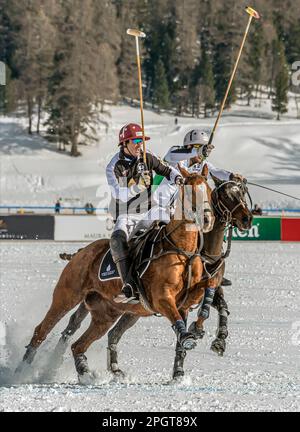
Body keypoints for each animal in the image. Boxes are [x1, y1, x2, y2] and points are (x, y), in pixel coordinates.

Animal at [17, 165, 218, 382]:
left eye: (208, 190)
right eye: (189, 192)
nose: (208, 220)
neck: (183, 250)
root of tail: (81, 252)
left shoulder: (186, 301)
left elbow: (208, 286)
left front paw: (182, 364)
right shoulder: (161, 298)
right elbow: (177, 322)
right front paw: (188, 337)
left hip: (105, 314)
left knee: (78, 344)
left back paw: (86, 373)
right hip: (66, 295)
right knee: (42, 330)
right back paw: (20, 370)